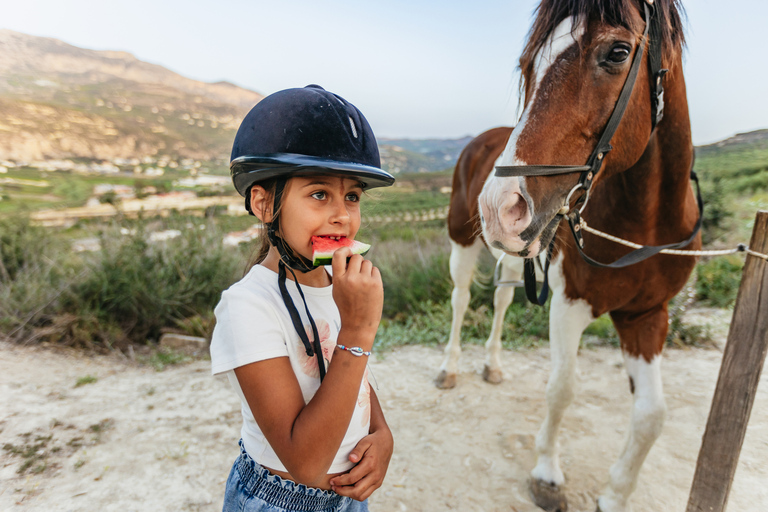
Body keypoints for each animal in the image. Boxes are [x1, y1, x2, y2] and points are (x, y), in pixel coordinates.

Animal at [438, 1, 696, 512]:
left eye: (617, 52)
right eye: (526, 65)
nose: (499, 206)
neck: (645, 226)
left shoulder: (647, 315)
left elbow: (652, 415)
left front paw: (616, 494)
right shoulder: (570, 303)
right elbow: (562, 388)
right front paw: (547, 474)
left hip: (516, 253)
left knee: (500, 300)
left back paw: (492, 365)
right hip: (464, 242)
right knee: (460, 300)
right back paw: (451, 368)